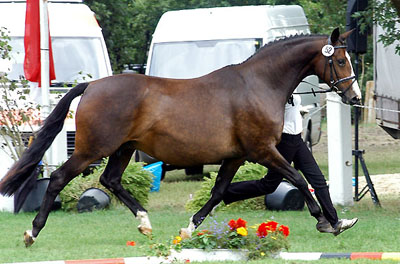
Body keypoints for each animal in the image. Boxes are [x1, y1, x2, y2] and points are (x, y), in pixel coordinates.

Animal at [0, 27, 360, 246]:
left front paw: (188, 227)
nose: (354, 97)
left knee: (110, 180)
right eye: (341, 60)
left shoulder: (237, 156)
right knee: (60, 178)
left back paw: (145, 223)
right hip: (92, 149)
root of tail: (93, 85)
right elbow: (298, 179)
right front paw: (328, 222)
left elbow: (218, 192)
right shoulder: (262, 151)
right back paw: (33, 232)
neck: (258, 84)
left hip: (123, 149)